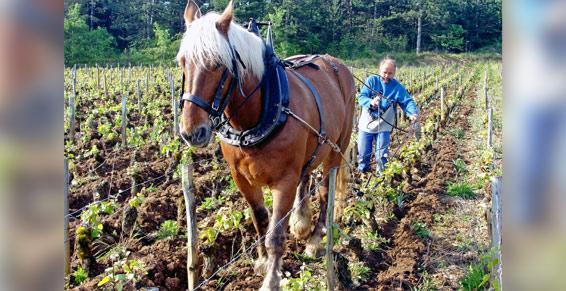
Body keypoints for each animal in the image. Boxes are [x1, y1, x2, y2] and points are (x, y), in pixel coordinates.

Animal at [178, 1, 356, 290]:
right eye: (183, 62)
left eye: (217, 64)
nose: (192, 132)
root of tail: (336, 64)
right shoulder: (241, 178)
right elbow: (260, 219)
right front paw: (262, 262)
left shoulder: (284, 182)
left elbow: (275, 234)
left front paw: (271, 279)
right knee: (306, 178)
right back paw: (301, 221)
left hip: (337, 149)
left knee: (325, 193)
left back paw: (315, 239)